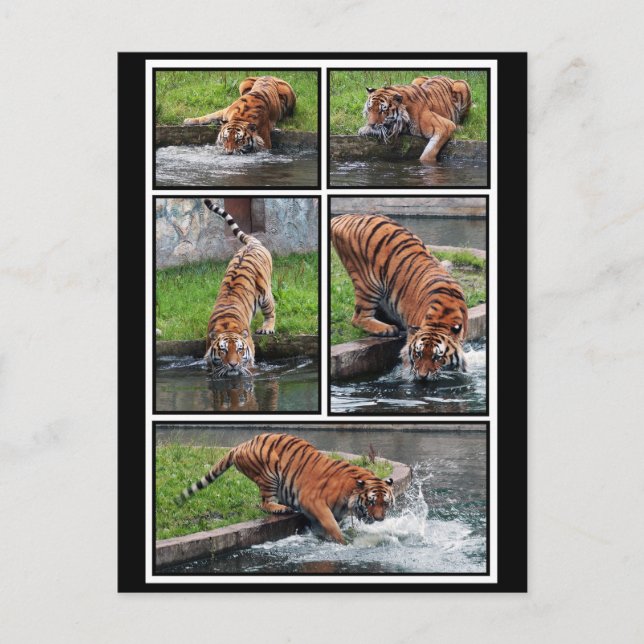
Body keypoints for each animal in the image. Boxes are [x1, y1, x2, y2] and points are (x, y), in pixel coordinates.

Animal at [176, 433, 395, 545]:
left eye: (385, 504)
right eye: (371, 502)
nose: (379, 519)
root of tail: (242, 444)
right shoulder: (313, 501)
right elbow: (331, 525)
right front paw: (343, 542)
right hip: (270, 471)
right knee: (264, 502)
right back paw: (281, 508)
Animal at [203, 200, 275, 377]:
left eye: (240, 350)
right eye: (222, 350)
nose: (233, 365)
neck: (226, 325)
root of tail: (253, 243)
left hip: (265, 294)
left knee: (271, 311)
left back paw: (267, 328)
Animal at [331, 214, 468, 379]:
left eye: (437, 357)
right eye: (418, 354)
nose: (422, 376)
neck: (441, 318)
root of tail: (342, 217)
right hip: (369, 282)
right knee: (358, 318)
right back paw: (388, 329)